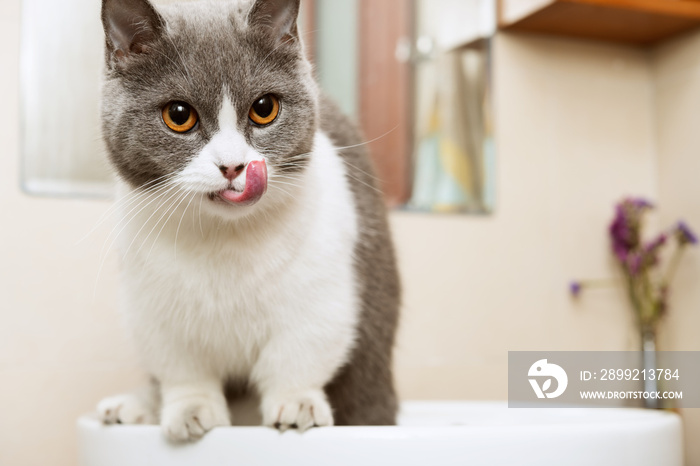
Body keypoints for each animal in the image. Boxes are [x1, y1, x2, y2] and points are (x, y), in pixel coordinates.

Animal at [94, 0, 400, 442]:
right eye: (179, 115)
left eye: (264, 109)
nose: (233, 165)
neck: (224, 238)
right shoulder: (154, 309)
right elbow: (181, 367)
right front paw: (191, 410)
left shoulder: (321, 294)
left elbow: (298, 352)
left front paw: (297, 403)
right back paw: (131, 408)